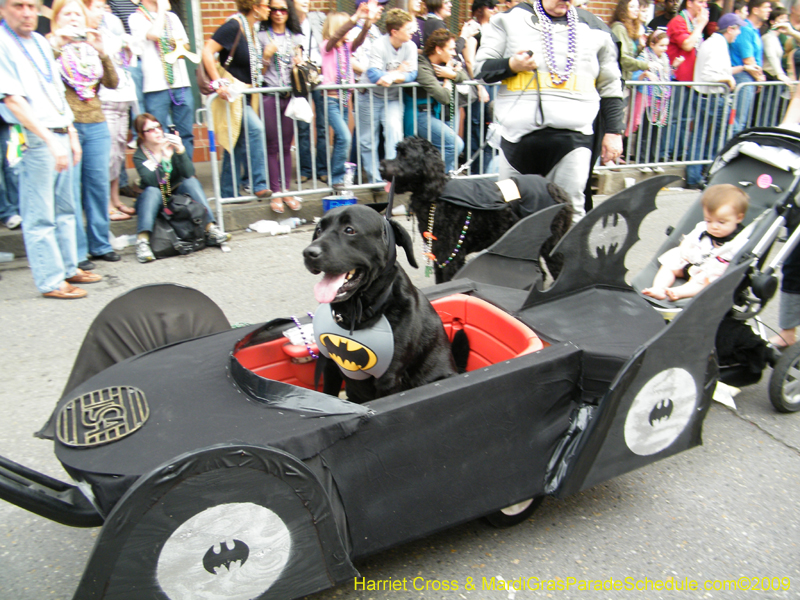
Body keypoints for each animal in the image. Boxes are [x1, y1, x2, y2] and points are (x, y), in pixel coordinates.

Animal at [304, 204, 456, 406]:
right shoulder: (329, 364)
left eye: (349, 230)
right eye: (319, 230)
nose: (308, 253)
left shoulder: (388, 379)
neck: (355, 316)